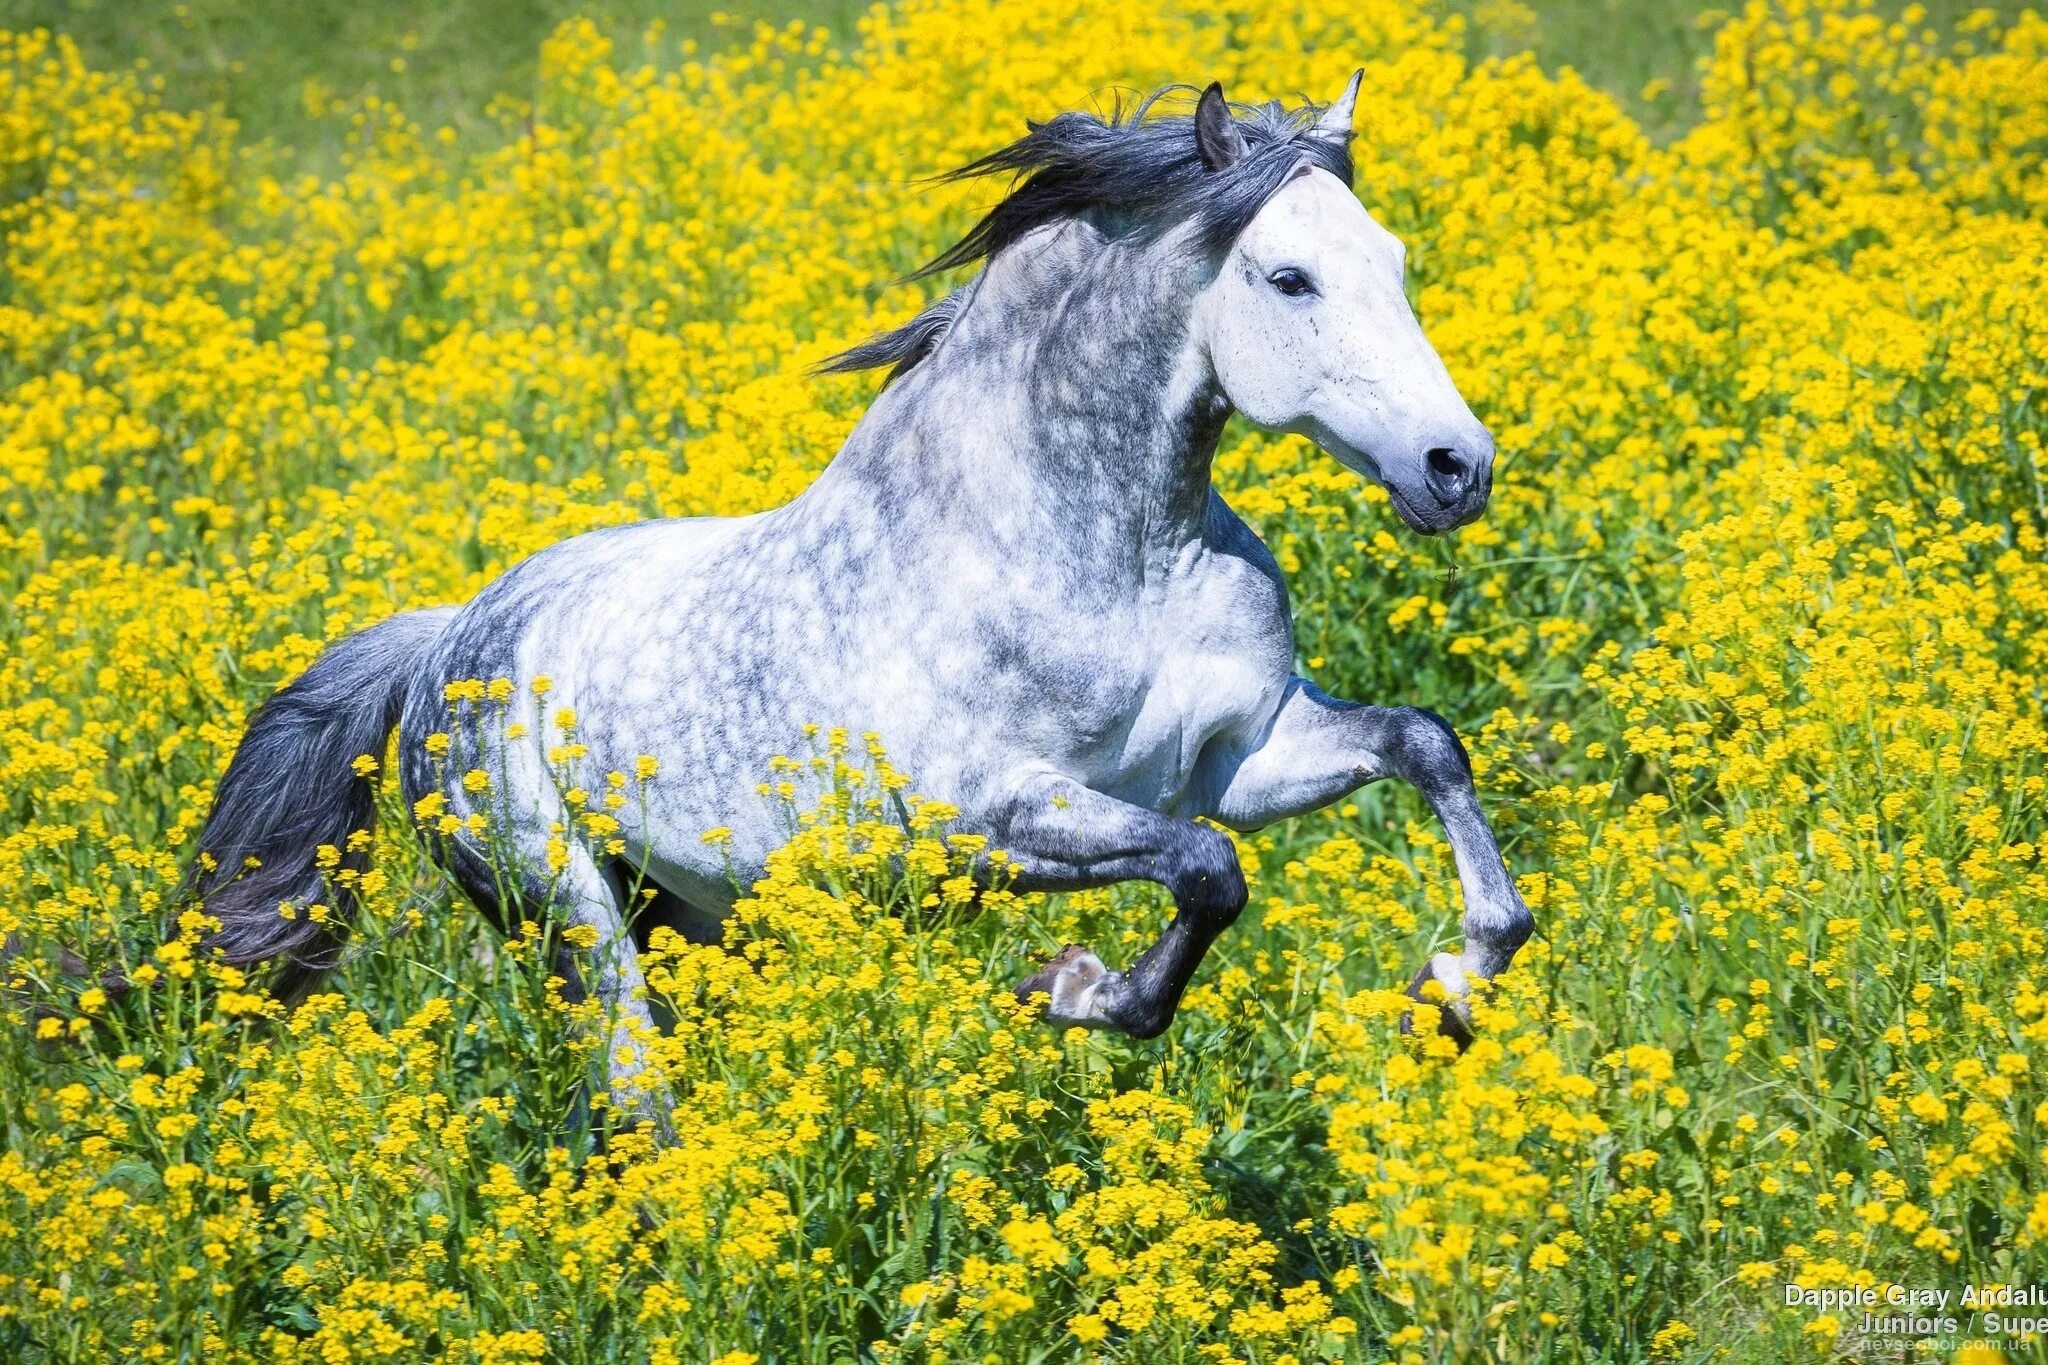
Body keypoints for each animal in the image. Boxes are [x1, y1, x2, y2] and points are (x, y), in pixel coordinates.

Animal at [192, 74, 1531, 1121]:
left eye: (1393, 262)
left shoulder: (1236, 760)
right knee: (636, 1118)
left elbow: (1423, 746)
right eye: (1288, 278)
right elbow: (1207, 873)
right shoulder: (991, 819)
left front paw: (1451, 987)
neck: (1106, 558)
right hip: (566, 919)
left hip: (695, 919)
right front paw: (1072, 990)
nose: (1453, 469)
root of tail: (445, 644)